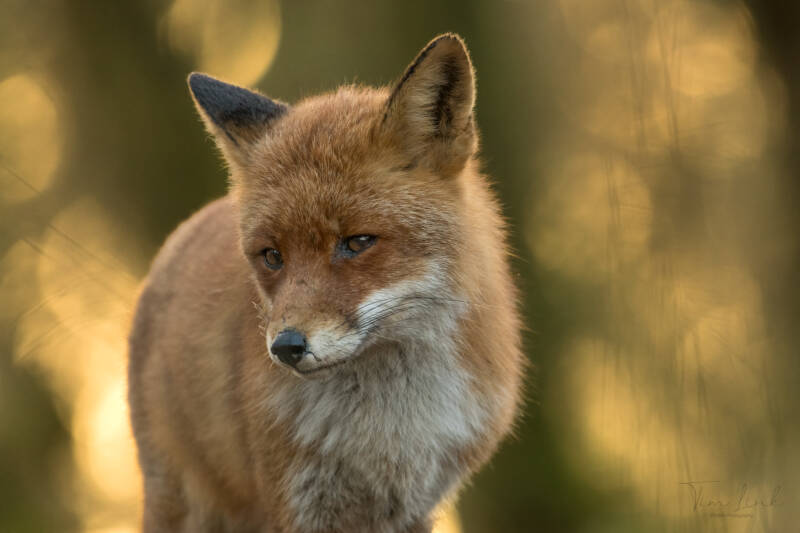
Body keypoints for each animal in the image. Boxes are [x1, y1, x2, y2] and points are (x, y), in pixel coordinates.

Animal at [127, 33, 524, 533]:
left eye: (357, 242)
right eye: (272, 256)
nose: (286, 348)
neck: (389, 427)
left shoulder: (414, 506)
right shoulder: (295, 501)